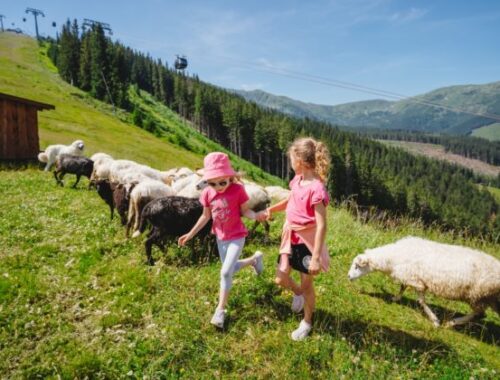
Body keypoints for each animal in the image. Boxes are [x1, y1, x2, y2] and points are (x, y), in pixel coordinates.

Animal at [348, 236, 500, 328]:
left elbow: (421, 301)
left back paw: (452, 323)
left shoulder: (417, 281)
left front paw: (435, 320)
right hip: (490, 297)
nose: (348, 277)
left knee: (479, 314)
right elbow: (403, 287)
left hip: (477, 295)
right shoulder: (408, 275)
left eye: (357, 266)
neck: (391, 259)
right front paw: (396, 298)